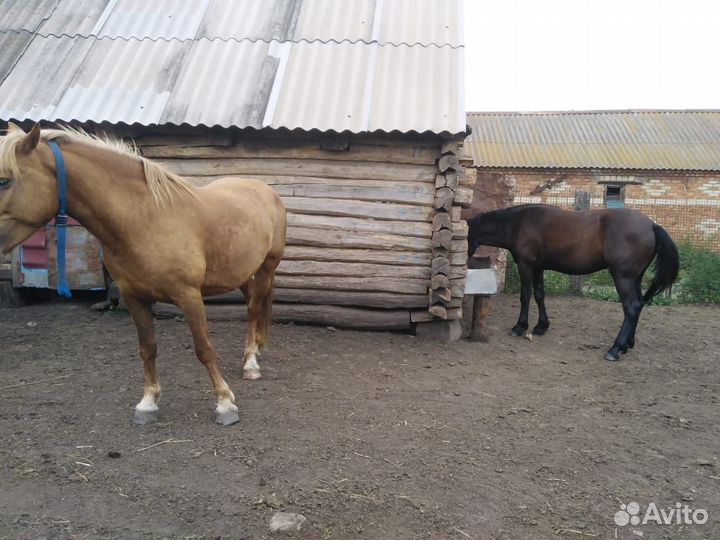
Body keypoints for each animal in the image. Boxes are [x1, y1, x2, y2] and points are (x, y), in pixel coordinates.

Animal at [0, 123, 287, 425]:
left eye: (4, 181)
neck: (145, 220)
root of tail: (265, 190)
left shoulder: (189, 297)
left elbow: (204, 349)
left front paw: (225, 403)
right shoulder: (134, 298)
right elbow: (147, 348)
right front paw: (148, 403)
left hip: (266, 268)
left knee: (254, 310)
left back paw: (251, 363)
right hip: (241, 272)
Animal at [467, 204, 679, 361]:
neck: (518, 223)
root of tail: (651, 225)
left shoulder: (526, 265)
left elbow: (525, 296)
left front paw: (520, 326)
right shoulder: (538, 267)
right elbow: (539, 295)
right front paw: (541, 326)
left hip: (623, 278)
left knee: (632, 307)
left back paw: (615, 349)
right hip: (635, 278)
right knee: (639, 305)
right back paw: (627, 344)